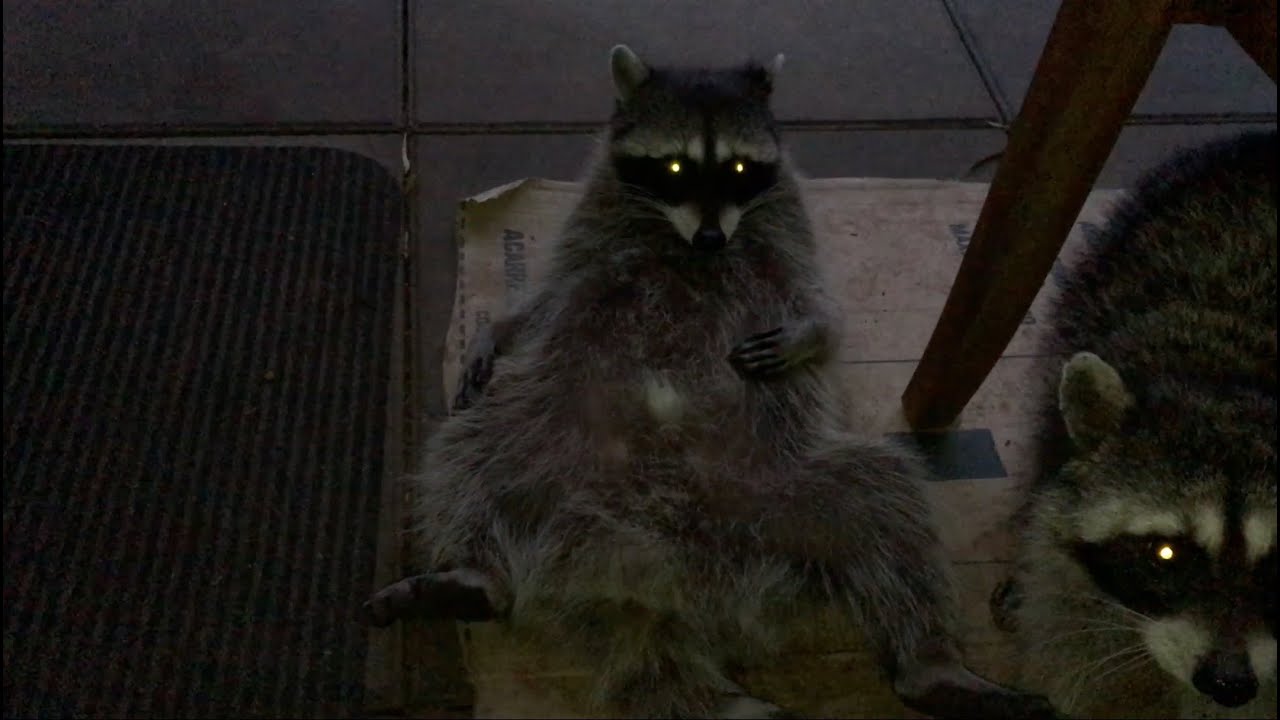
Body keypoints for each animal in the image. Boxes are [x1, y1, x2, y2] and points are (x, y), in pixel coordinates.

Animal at [367, 45, 1054, 719]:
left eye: (739, 167)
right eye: (674, 167)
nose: (711, 237)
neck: (681, 238)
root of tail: (648, 576)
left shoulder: (787, 226)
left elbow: (825, 310)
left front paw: (811, 332)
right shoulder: (592, 225)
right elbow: (550, 298)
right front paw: (501, 328)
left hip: (784, 496)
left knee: (886, 503)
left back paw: (928, 662)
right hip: (544, 439)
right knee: (470, 452)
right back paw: (477, 574)